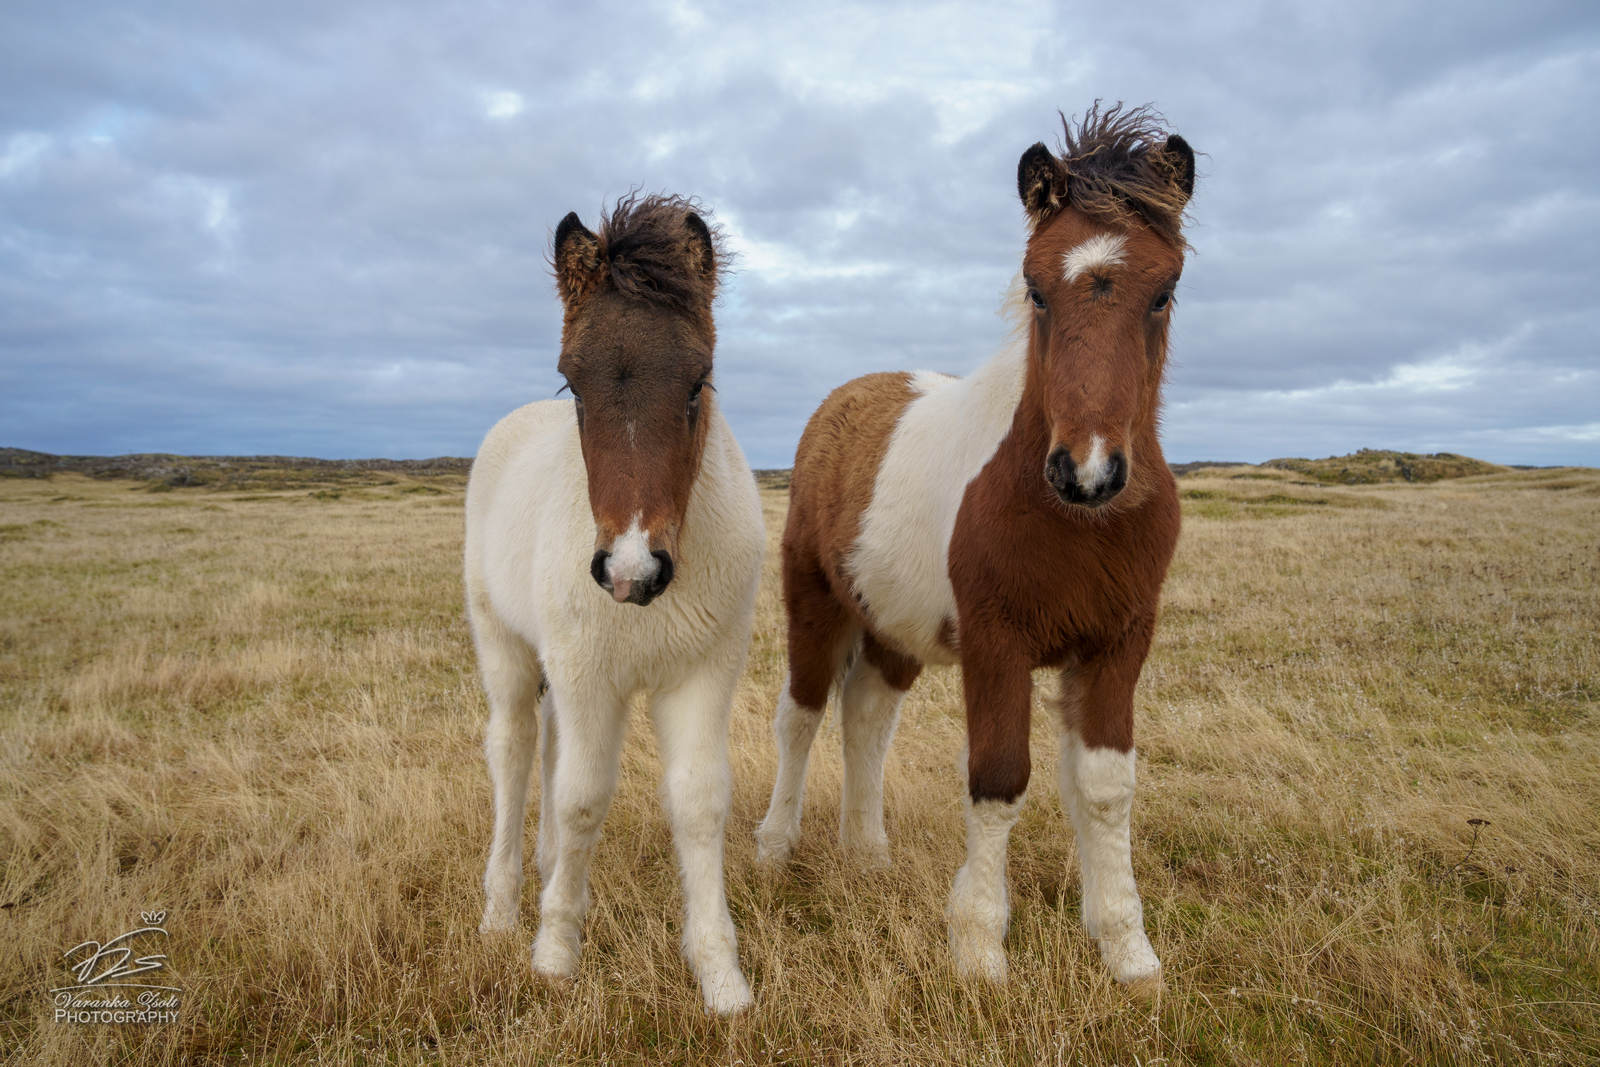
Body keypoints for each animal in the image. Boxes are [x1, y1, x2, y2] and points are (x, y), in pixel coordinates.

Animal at [466, 194, 764, 1014]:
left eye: (698, 382)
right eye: (574, 384)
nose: (632, 570)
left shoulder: (702, 676)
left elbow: (698, 802)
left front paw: (720, 976)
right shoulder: (588, 675)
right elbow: (581, 799)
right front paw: (554, 953)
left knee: (547, 747)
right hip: (506, 650)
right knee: (513, 750)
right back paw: (502, 909)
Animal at [754, 104, 1196, 987]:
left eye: (1164, 291)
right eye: (1035, 287)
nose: (1088, 471)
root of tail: (842, 400)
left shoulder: (1120, 642)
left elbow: (1105, 785)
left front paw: (1127, 948)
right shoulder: (999, 641)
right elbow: (999, 779)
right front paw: (981, 946)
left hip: (894, 626)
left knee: (868, 715)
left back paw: (867, 854)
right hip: (813, 602)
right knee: (803, 715)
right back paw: (775, 848)